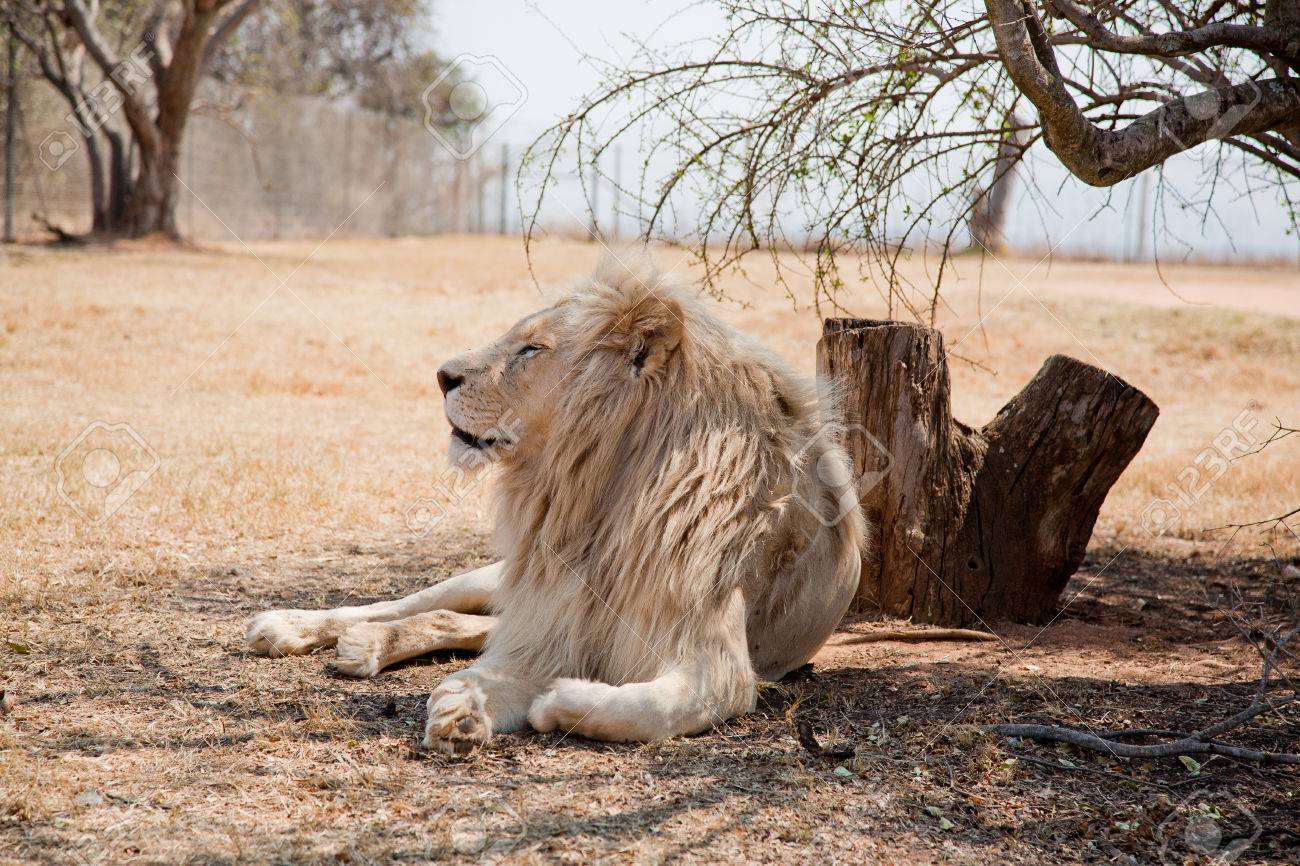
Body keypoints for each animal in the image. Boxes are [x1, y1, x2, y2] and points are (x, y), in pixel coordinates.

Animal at [246, 254, 866, 753]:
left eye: (532, 349)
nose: (441, 376)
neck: (599, 490)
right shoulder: (551, 613)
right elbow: (485, 669)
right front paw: (463, 705)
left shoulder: (714, 661)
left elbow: (650, 707)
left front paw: (555, 702)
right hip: (495, 577)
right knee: (412, 603)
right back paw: (294, 627)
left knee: (459, 621)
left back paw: (364, 647)